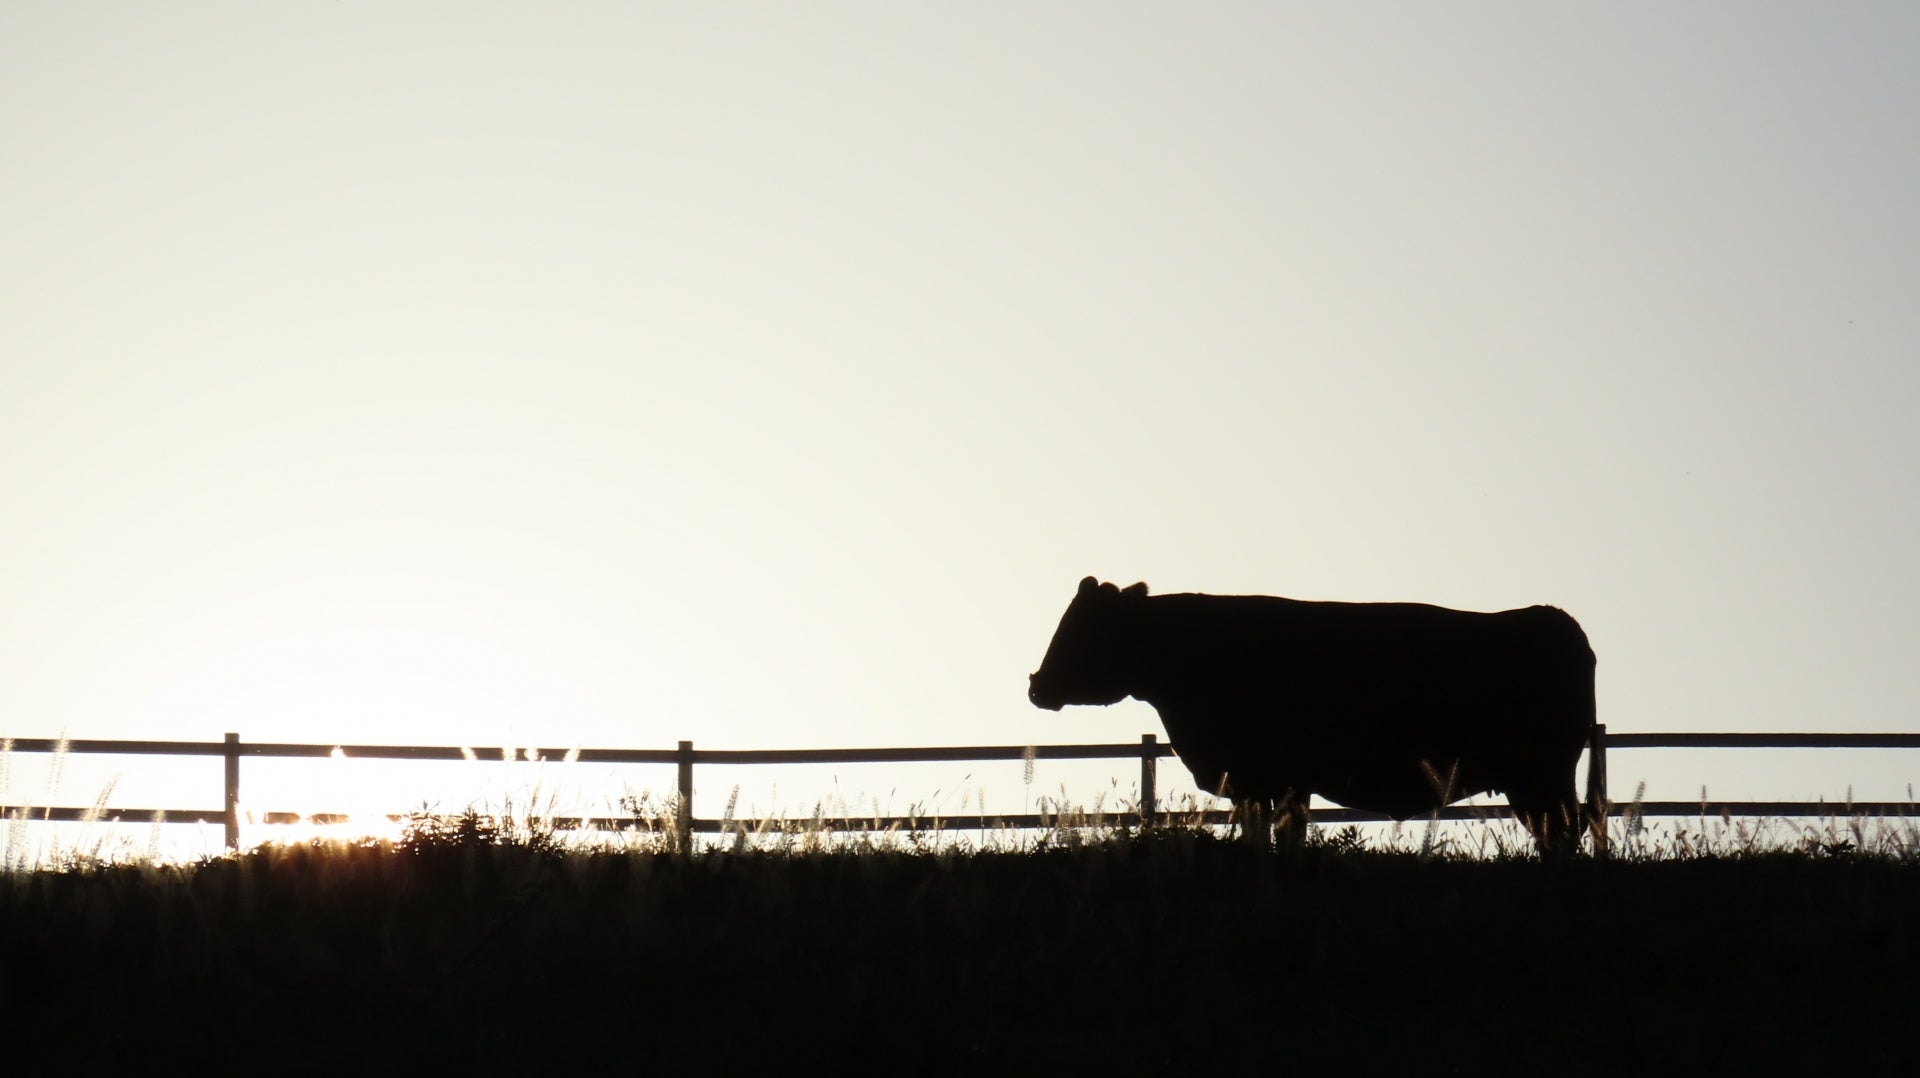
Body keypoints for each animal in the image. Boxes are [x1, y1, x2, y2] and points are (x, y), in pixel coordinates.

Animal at [1028, 577, 1598, 855]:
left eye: (1084, 629)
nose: (1036, 685)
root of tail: (1556, 619)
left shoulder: (1267, 776)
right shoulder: (1269, 781)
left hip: (1543, 775)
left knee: (1565, 835)